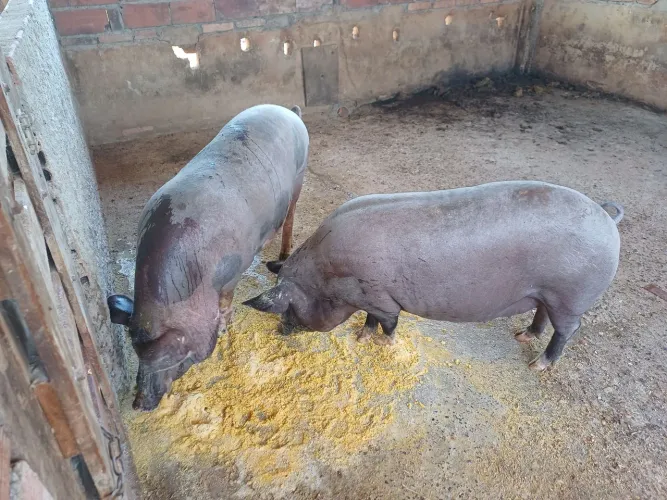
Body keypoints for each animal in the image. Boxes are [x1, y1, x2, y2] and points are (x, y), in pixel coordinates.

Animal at [107, 104, 309, 410]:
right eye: (137, 354)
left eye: (167, 357)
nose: (138, 404)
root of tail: (289, 110)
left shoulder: (233, 270)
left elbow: (225, 303)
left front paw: (224, 330)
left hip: (300, 175)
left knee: (291, 216)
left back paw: (283, 252)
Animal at [244, 181, 623, 371]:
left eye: (289, 309)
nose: (280, 332)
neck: (325, 278)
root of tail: (606, 216)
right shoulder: (370, 297)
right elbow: (369, 319)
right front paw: (362, 338)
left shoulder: (381, 297)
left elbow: (389, 322)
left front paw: (381, 344)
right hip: (548, 293)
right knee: (541, 315)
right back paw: (521, 337)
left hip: (570, 296)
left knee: (568, 330)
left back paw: (536, 365)